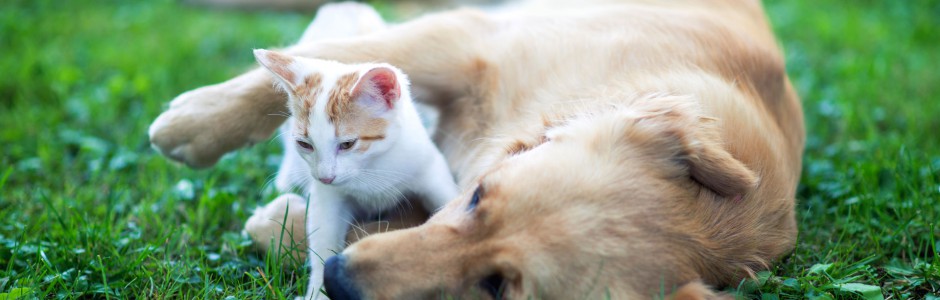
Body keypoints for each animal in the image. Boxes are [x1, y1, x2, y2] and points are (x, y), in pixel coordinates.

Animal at [253, 49, 458, 300]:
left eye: (348, 144)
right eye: (304, 144)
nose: (325, 177)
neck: (368, 169)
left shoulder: (428, 167)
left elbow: (448, 200)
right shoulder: (327, 197)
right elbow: (323, 238)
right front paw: (318, 291)